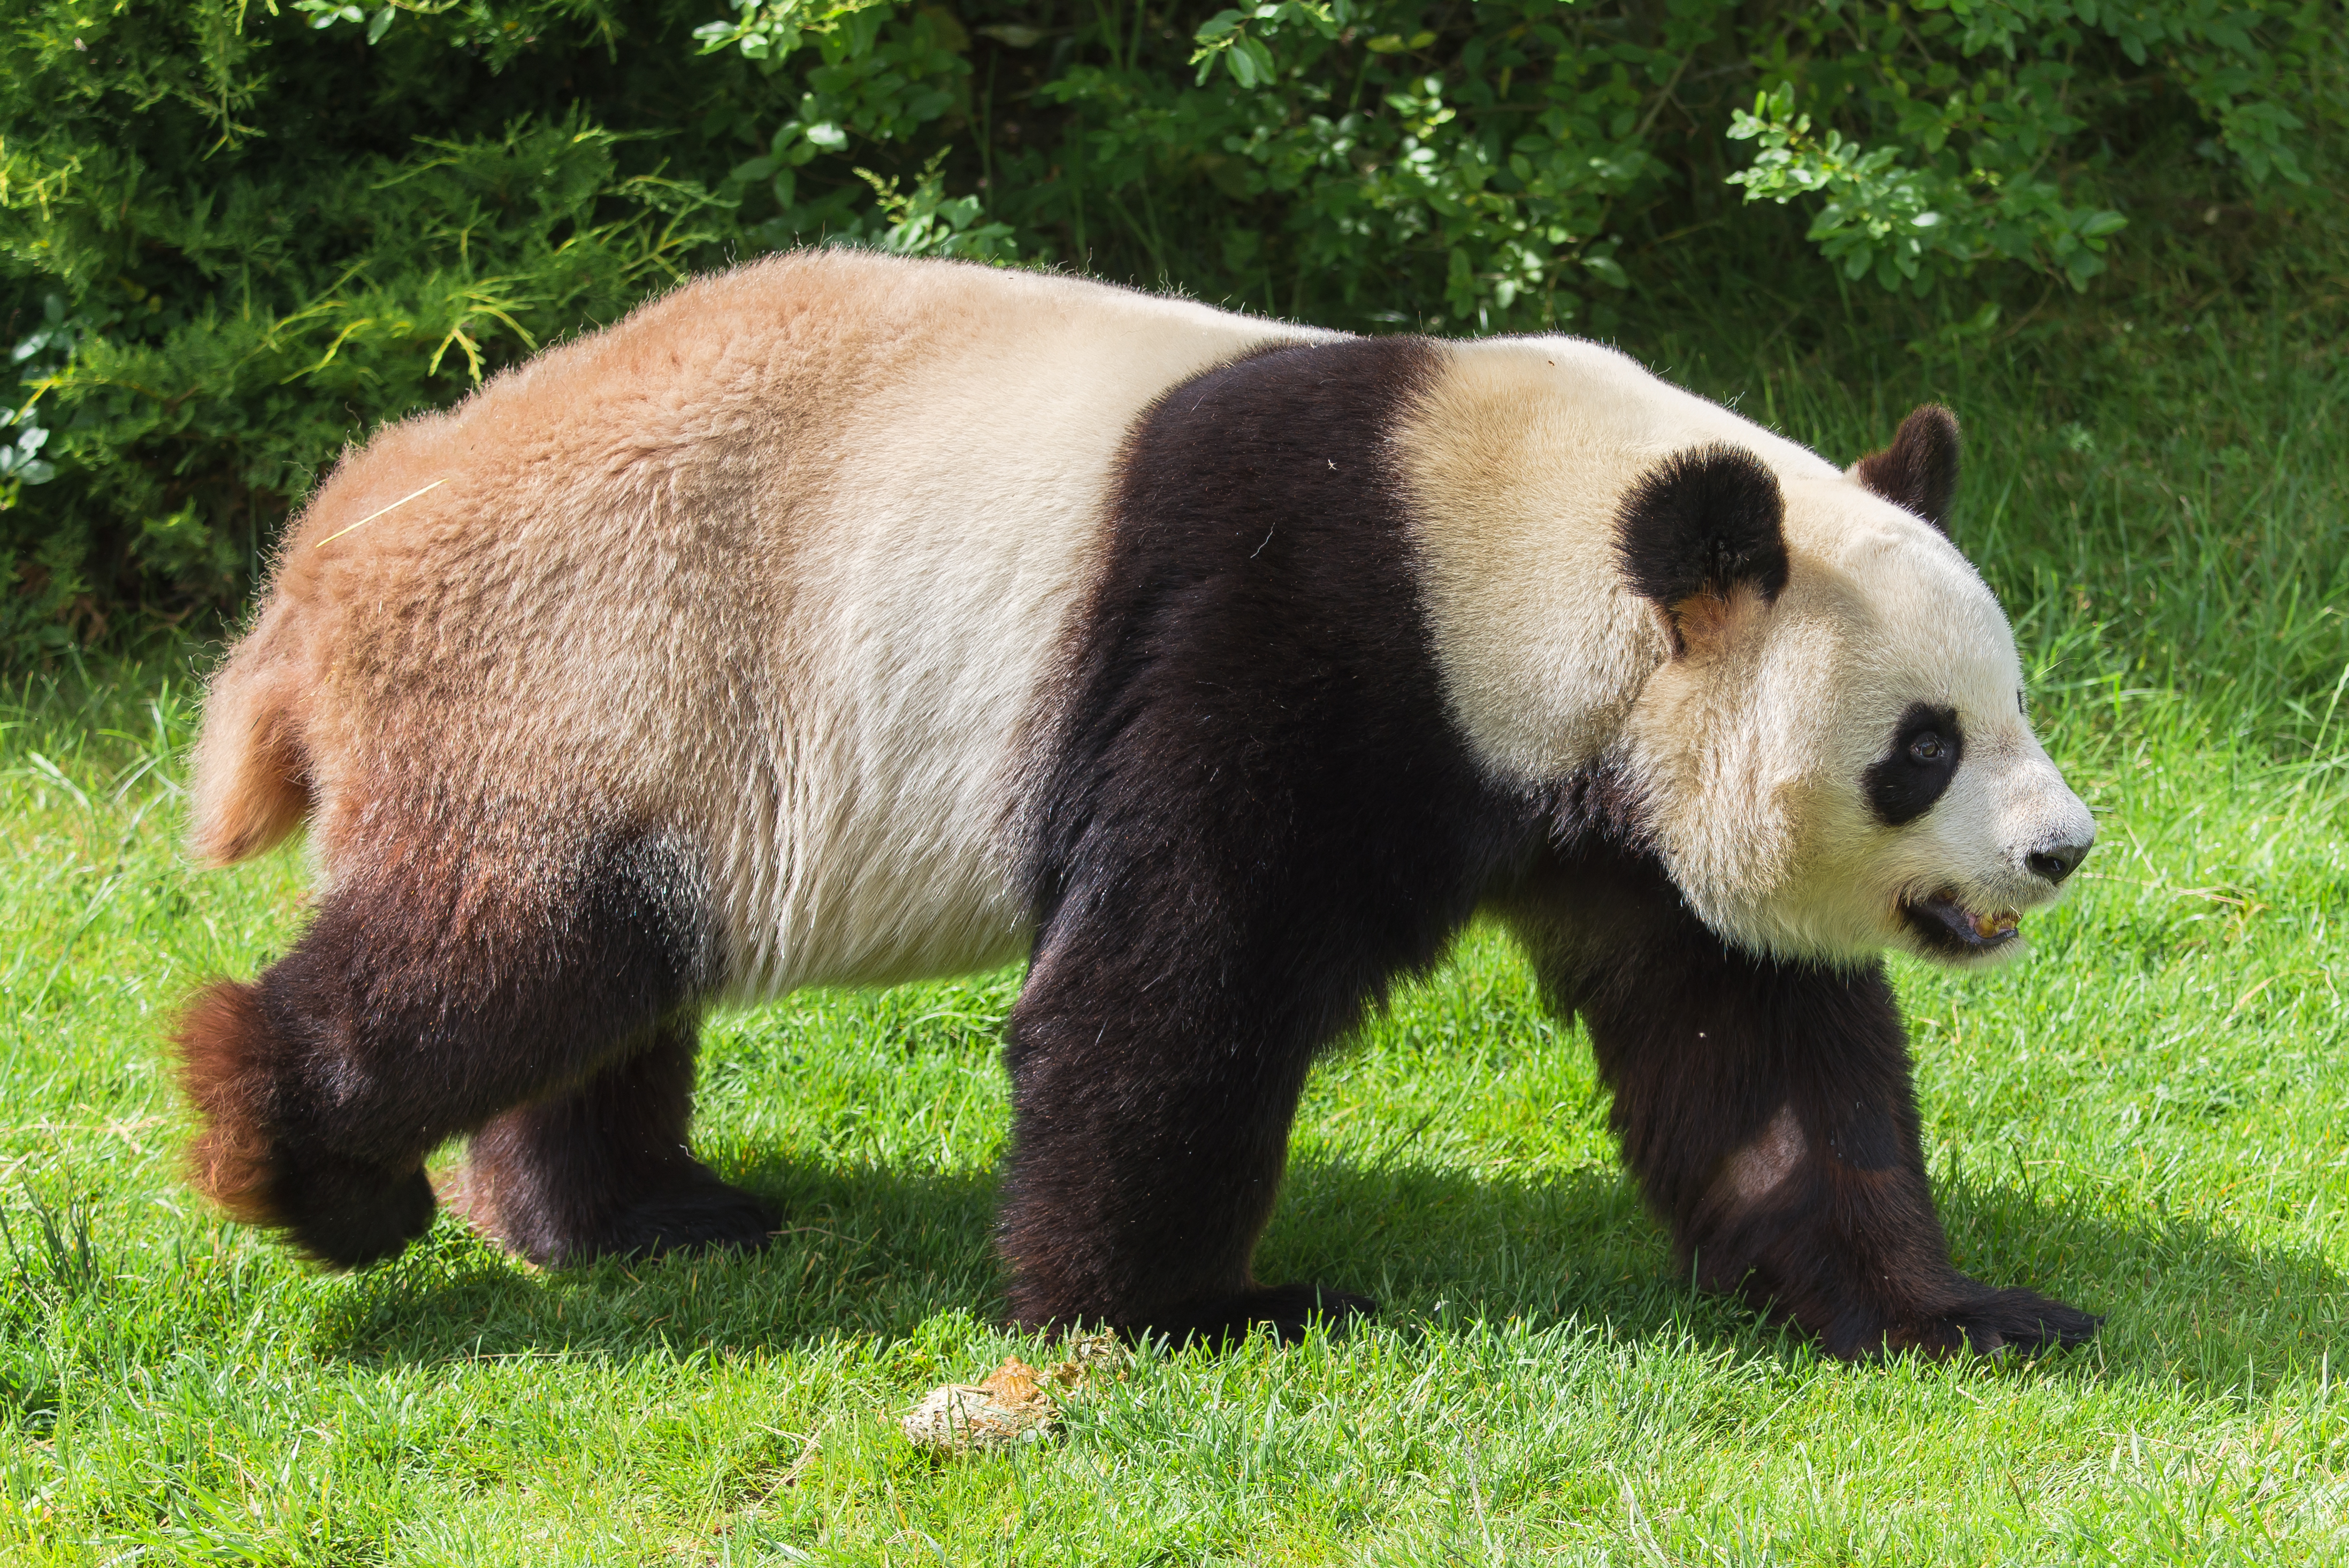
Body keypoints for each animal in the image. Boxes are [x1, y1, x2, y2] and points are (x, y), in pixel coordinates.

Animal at [173, 247, 2105, 1361]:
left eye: (2014, 702)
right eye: (1920, 746)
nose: (2058, 851)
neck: (1519, 546)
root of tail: (335, 543)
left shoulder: (1616, 815)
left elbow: (1756, 1048)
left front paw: (1951, 1311)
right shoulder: (1288, 629)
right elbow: (1173, 982)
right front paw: (1191, 1310)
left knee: (601, 988)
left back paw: (624, 1213)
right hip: (594, 663)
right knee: (504, 954)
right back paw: (312, 1165)